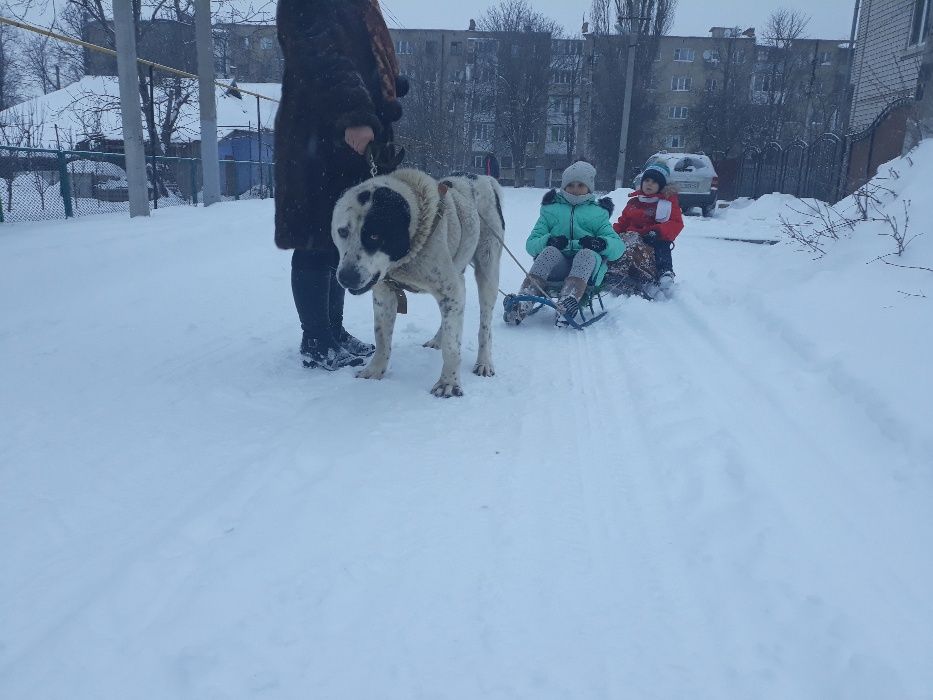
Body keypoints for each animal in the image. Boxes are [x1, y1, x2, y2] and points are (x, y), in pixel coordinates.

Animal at [328, 169, 502, 396]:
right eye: (342, 231)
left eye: (374, 235)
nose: (346, 277)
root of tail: (481, 177)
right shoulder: (385, 294)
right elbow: (381, 338)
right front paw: (375, 371)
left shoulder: (450, 289)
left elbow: (452, 347)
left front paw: (449, 382)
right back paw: (438, 339)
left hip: (488, 270)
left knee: (485, 326)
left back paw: (484, 362)